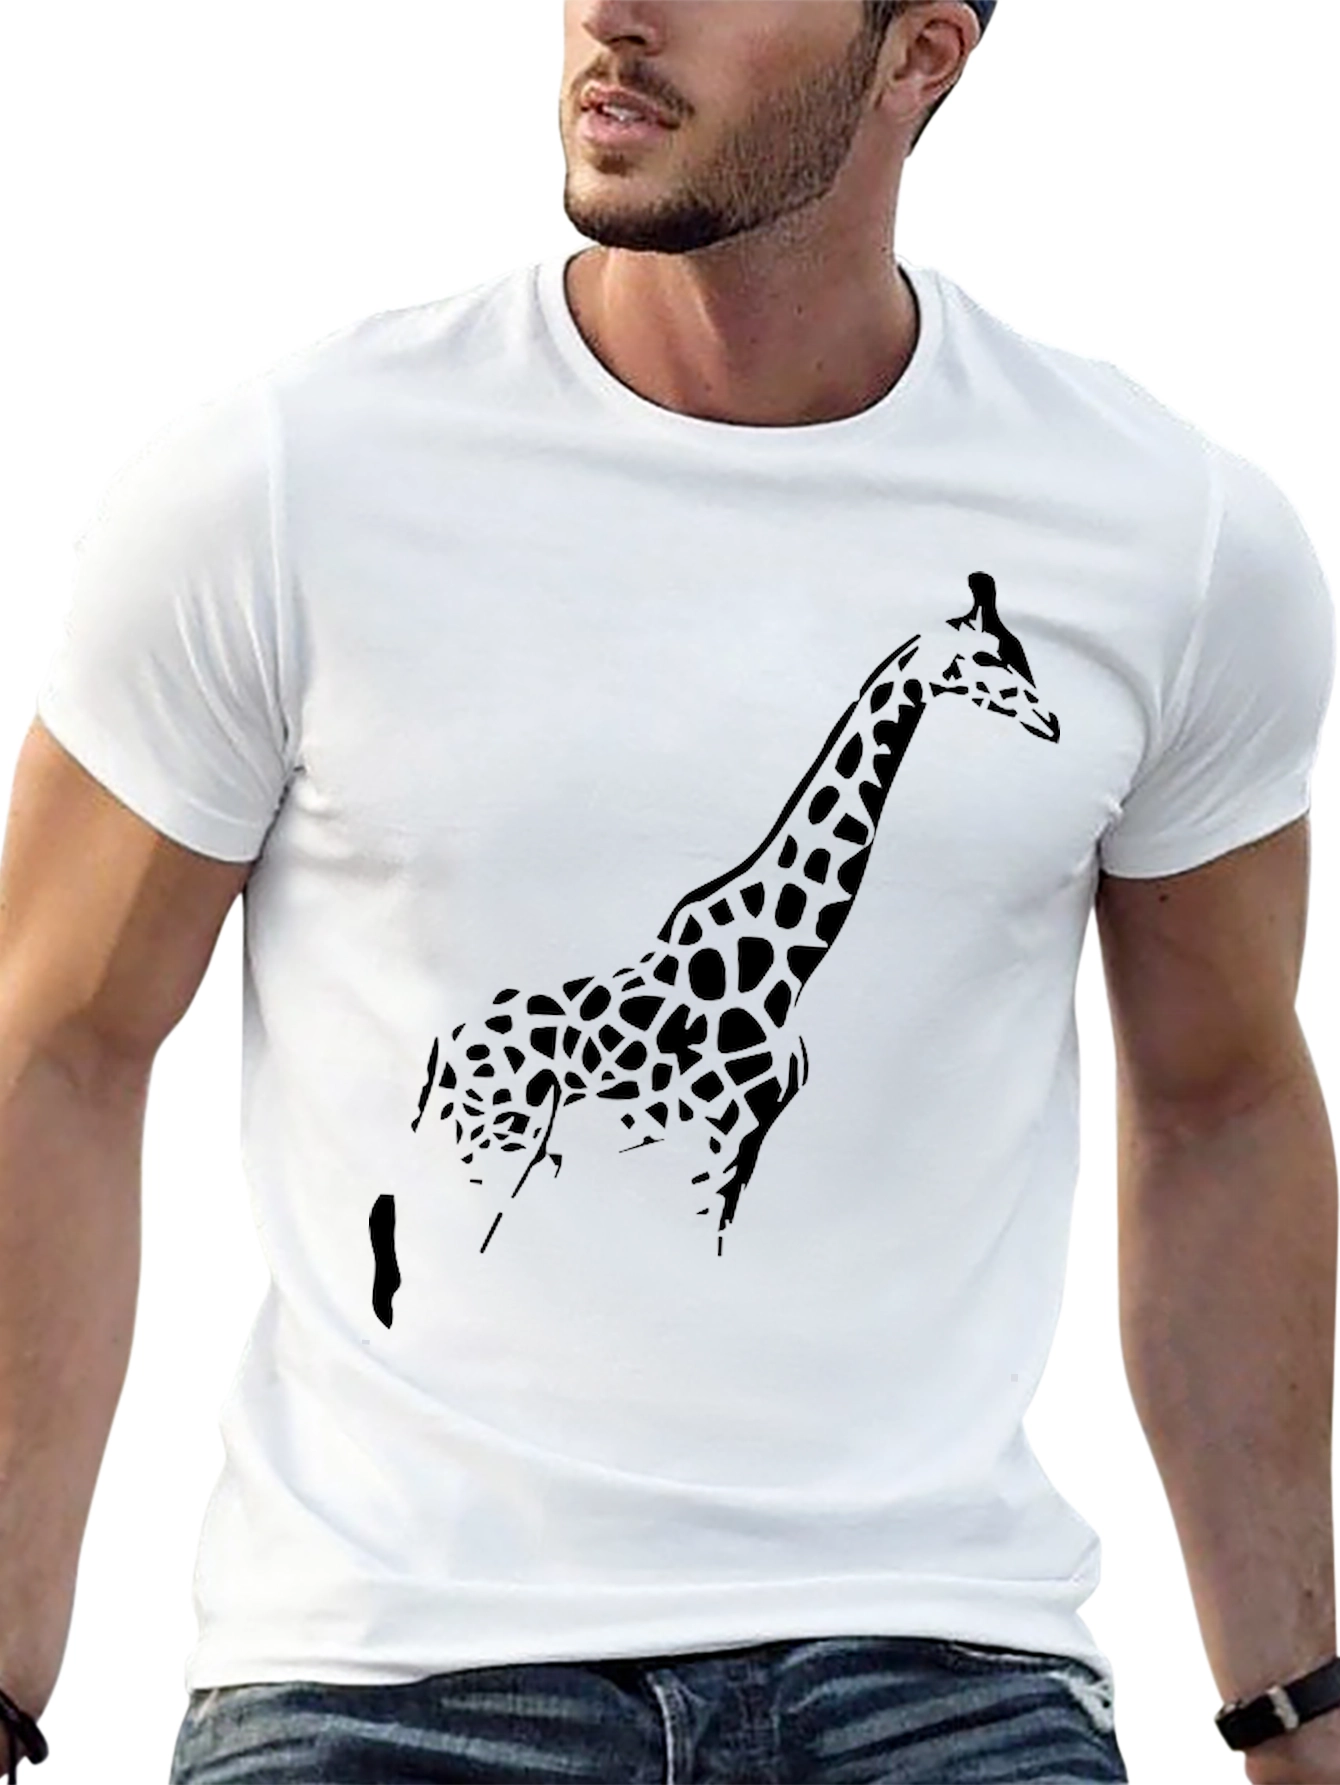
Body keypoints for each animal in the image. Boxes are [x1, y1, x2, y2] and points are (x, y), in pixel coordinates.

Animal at [410, 572, 1059, 1265]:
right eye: (991, 657)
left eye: (1023, 653)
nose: (1051, 722)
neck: (789, 959)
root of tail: (444, 1050)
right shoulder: (723, 1129)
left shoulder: (745, 1142)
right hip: (497, 1134)